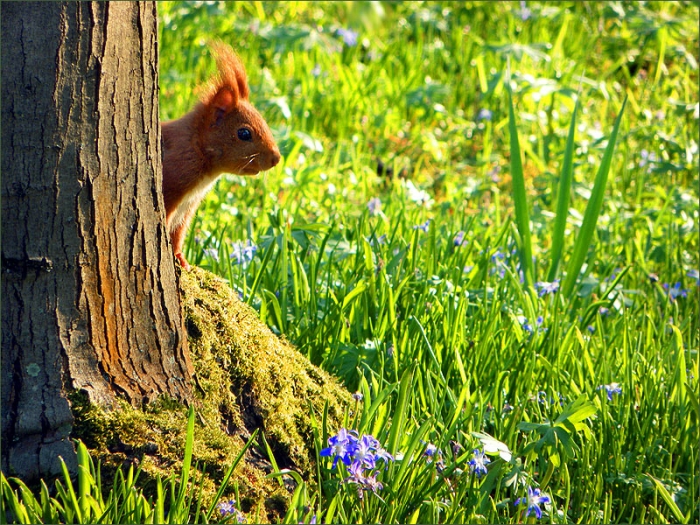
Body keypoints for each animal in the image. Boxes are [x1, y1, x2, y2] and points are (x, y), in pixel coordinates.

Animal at [161, 43, 281, 270]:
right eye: (244, 133)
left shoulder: (188, 207)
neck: (197, 147)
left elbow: (177, 234)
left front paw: (180, 258)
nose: (276, 159)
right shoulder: (172, 183)